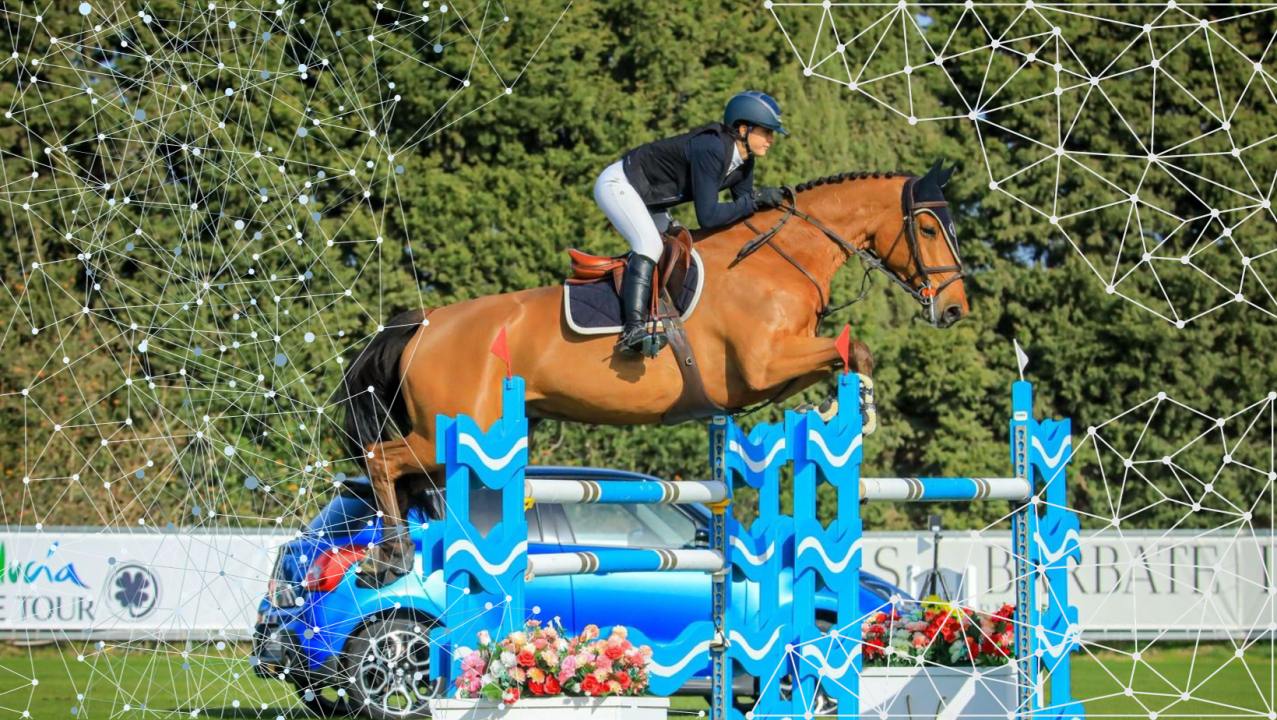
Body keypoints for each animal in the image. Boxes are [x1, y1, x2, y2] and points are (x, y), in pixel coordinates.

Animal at [340, 160, 969, 587]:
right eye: (929, 229)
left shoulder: (769, 374)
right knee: (382, 459)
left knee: (408, 479)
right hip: (452, 430)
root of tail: (421, 324)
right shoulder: (762, 365)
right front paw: (857, 410)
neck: (777, 259)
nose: (954, 309)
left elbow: (843, 354)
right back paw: (392, 556)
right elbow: (852, 349)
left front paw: (833, 409)